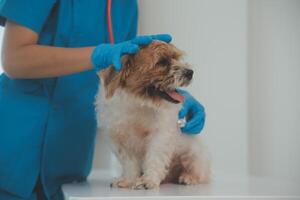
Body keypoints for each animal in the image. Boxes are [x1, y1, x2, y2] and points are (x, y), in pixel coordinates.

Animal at [95, 40, 210, 189]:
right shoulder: (119, 140)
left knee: (201, 172)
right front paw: (129, 179)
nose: (190, 72)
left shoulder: (160, 136)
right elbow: (129, 163)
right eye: (162, 62)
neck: (138, 103)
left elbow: (154, 158)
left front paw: (148, 180)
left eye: (176, 58)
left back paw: (188, 177)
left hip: (194, 155)